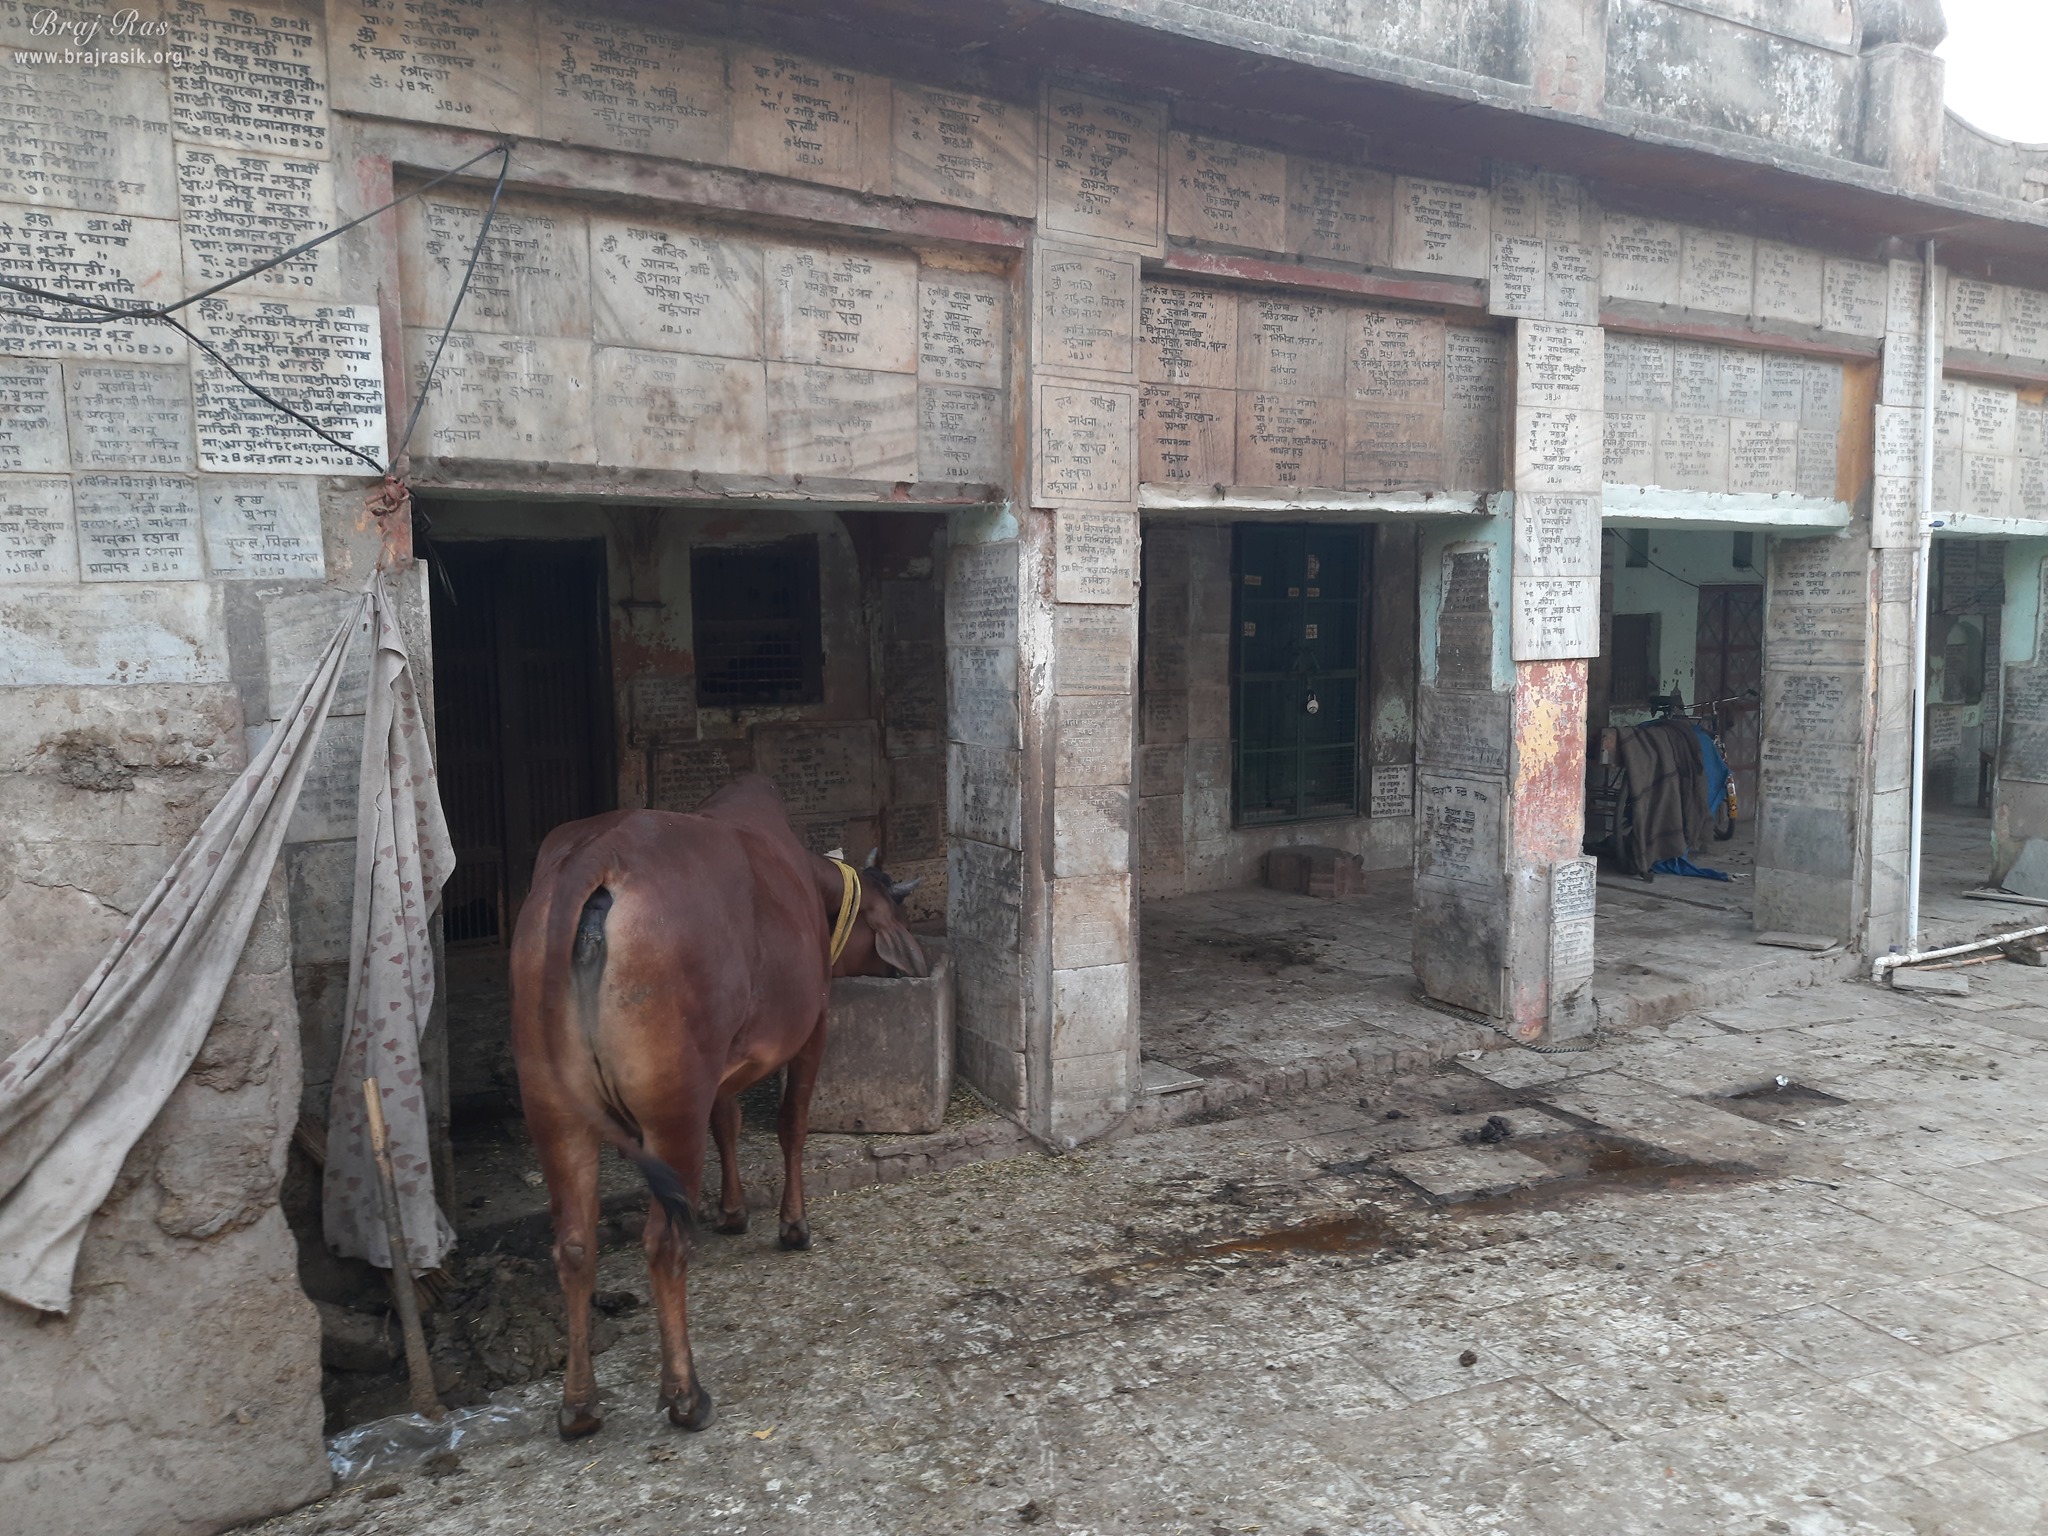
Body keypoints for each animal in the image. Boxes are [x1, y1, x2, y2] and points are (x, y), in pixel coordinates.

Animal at [509, 774, 928, 1439]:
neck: (809, 883)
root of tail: (594, 859)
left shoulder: (726, 1066)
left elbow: (727, 1123)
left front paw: (733, 1212)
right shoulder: (812, 1029)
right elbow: (791, 1125)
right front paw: (793, 1225)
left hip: (554, 1110)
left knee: (574, 1245)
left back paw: (579, 1406)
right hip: (671, 1107)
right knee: (663, 1242)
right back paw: (685, 1394)